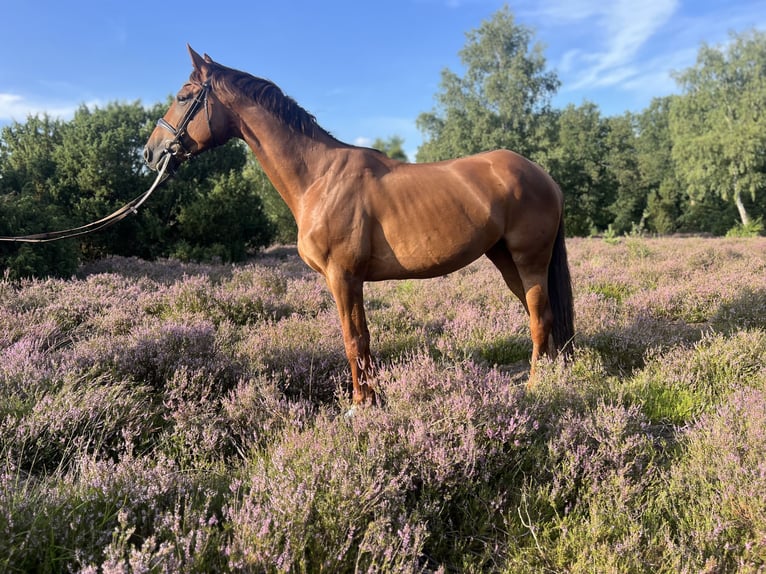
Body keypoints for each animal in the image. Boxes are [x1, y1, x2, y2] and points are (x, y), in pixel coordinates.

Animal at [144, 45, 574, 405]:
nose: (151, 153)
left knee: (540, 318)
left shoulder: (343, 276)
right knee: (543, 316)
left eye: (183, 97)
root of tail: (544, 176)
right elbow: (362, 341)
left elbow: (354, 340)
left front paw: (360, 405)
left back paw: (537, 386)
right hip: (505, 259)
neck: (319, 177)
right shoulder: (348, 279)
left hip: (529, 259)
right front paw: (371, 399)